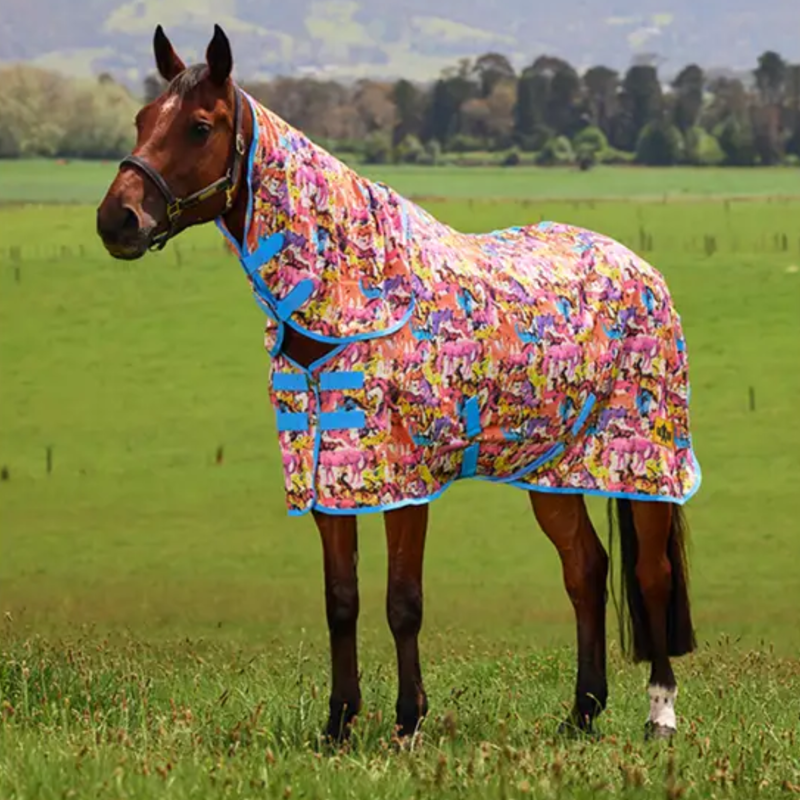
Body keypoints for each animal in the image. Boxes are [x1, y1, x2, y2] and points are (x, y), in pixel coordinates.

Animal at [96, 24, 700, 743]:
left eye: (198, 125)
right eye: (141, 119)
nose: (117, 220)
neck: (352, 297)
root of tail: (642, 269)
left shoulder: (404, 483)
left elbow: (402, 601)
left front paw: (408, 722)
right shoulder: (327, 477)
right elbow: (342, 600)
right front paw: (338, 724)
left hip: (645, 462)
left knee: (651, 574)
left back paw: (661, 715)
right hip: (551, 471)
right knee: (585, 569)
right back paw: (581, 712)